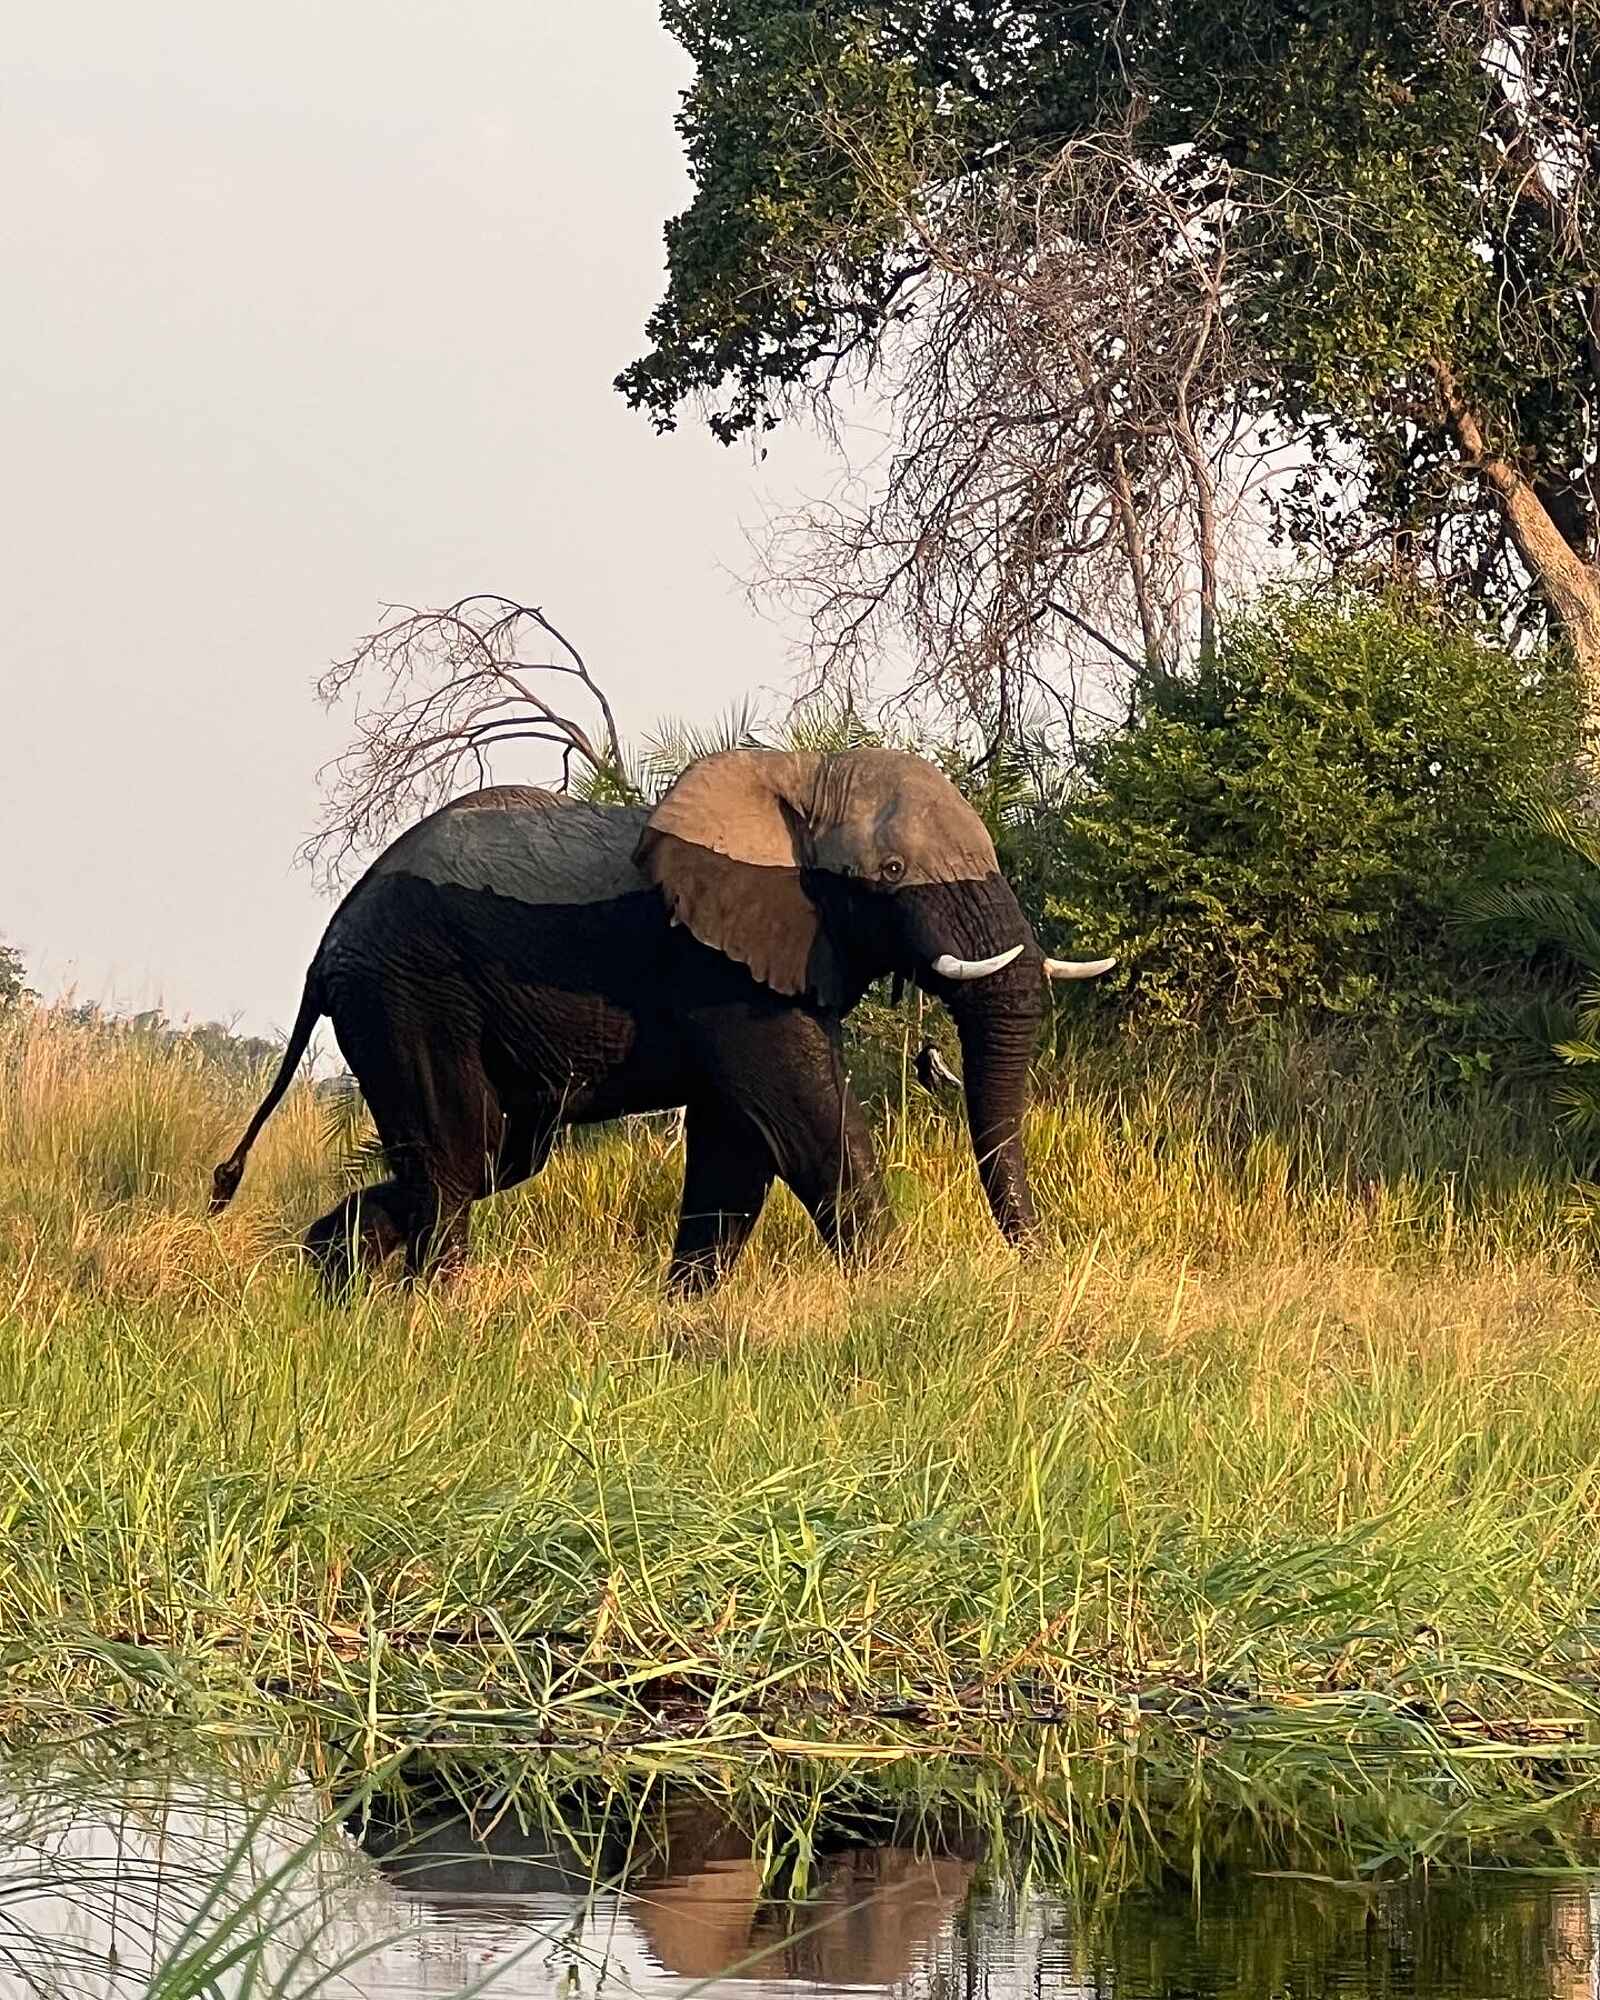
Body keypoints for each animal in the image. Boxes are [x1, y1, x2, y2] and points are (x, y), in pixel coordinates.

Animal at [210, 748, 1112, 1292]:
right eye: (889, 874)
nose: (1044, 1267)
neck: (798, 779)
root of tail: (325, 950)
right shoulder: (717, 964)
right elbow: (805, 1126)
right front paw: (894, 1297)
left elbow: (737, 1150)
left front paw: (689, 1315)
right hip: (408, 990)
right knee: (456, 1155)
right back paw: (437, 1308)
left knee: (494, 1157)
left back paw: (332, 1284)